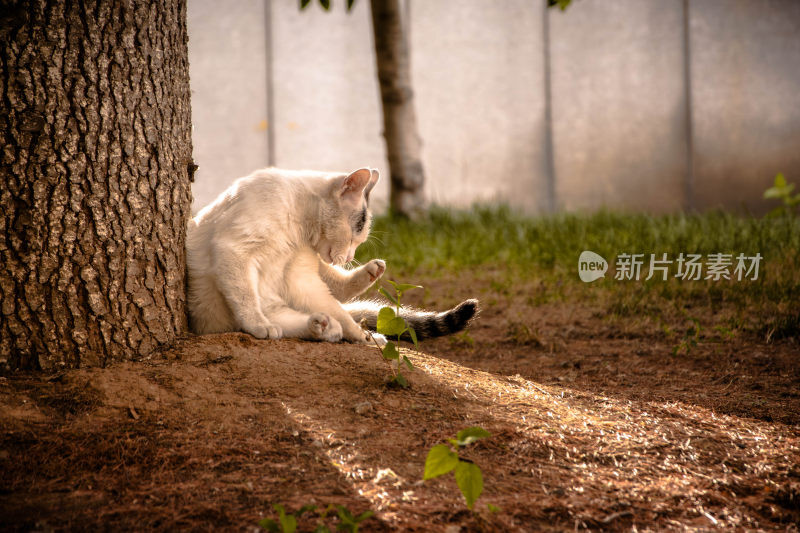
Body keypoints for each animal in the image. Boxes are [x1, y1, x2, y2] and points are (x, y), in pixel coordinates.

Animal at [188, 164, 476, 342]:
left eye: (358, 242)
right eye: (352, 237)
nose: (349, 258)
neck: (298, 231)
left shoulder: (302, 278)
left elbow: (336, 304)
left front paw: (360, 334)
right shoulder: (234, 247)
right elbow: (245, 296)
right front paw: (259, 325)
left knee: (332, 302)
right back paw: (323, 327)